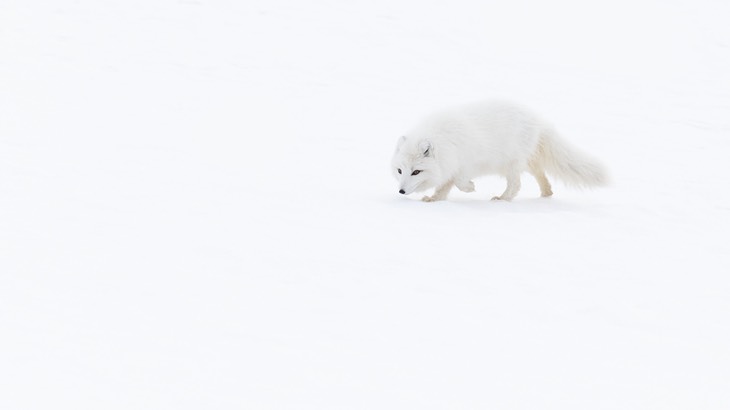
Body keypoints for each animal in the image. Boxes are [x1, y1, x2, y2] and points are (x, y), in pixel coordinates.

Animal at [390, 100, 604, 201]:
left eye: (416, 171)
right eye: (400, 170)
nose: (401, 191)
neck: (445, 144)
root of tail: (538, 120)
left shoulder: (466, 163)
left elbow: (458, 181)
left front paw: (470, 188)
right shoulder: (449, 167)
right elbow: (444, 187)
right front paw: (434, 200)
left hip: (511, 163)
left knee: (516, 185)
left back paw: (503, 199)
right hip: (526, 161)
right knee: (539, 172)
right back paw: (546, 193)